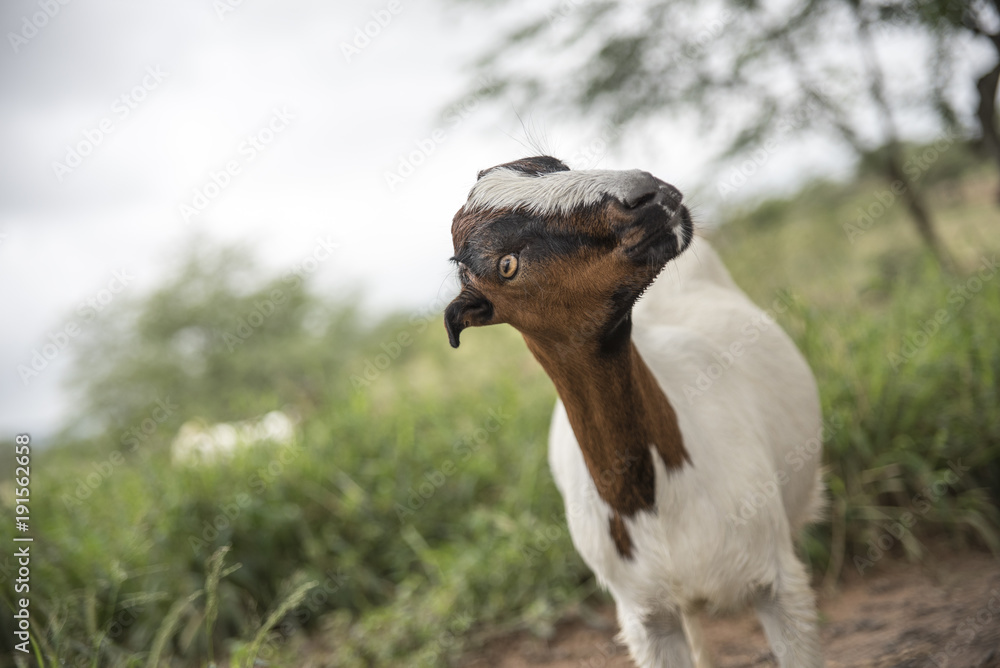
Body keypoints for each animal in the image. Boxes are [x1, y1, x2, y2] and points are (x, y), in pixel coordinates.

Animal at [450, 155, 824, 664]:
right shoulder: (646, 620)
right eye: (507, 265)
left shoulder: (779, 585)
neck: (652, 501)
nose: (647, 193)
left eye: (554, 166)